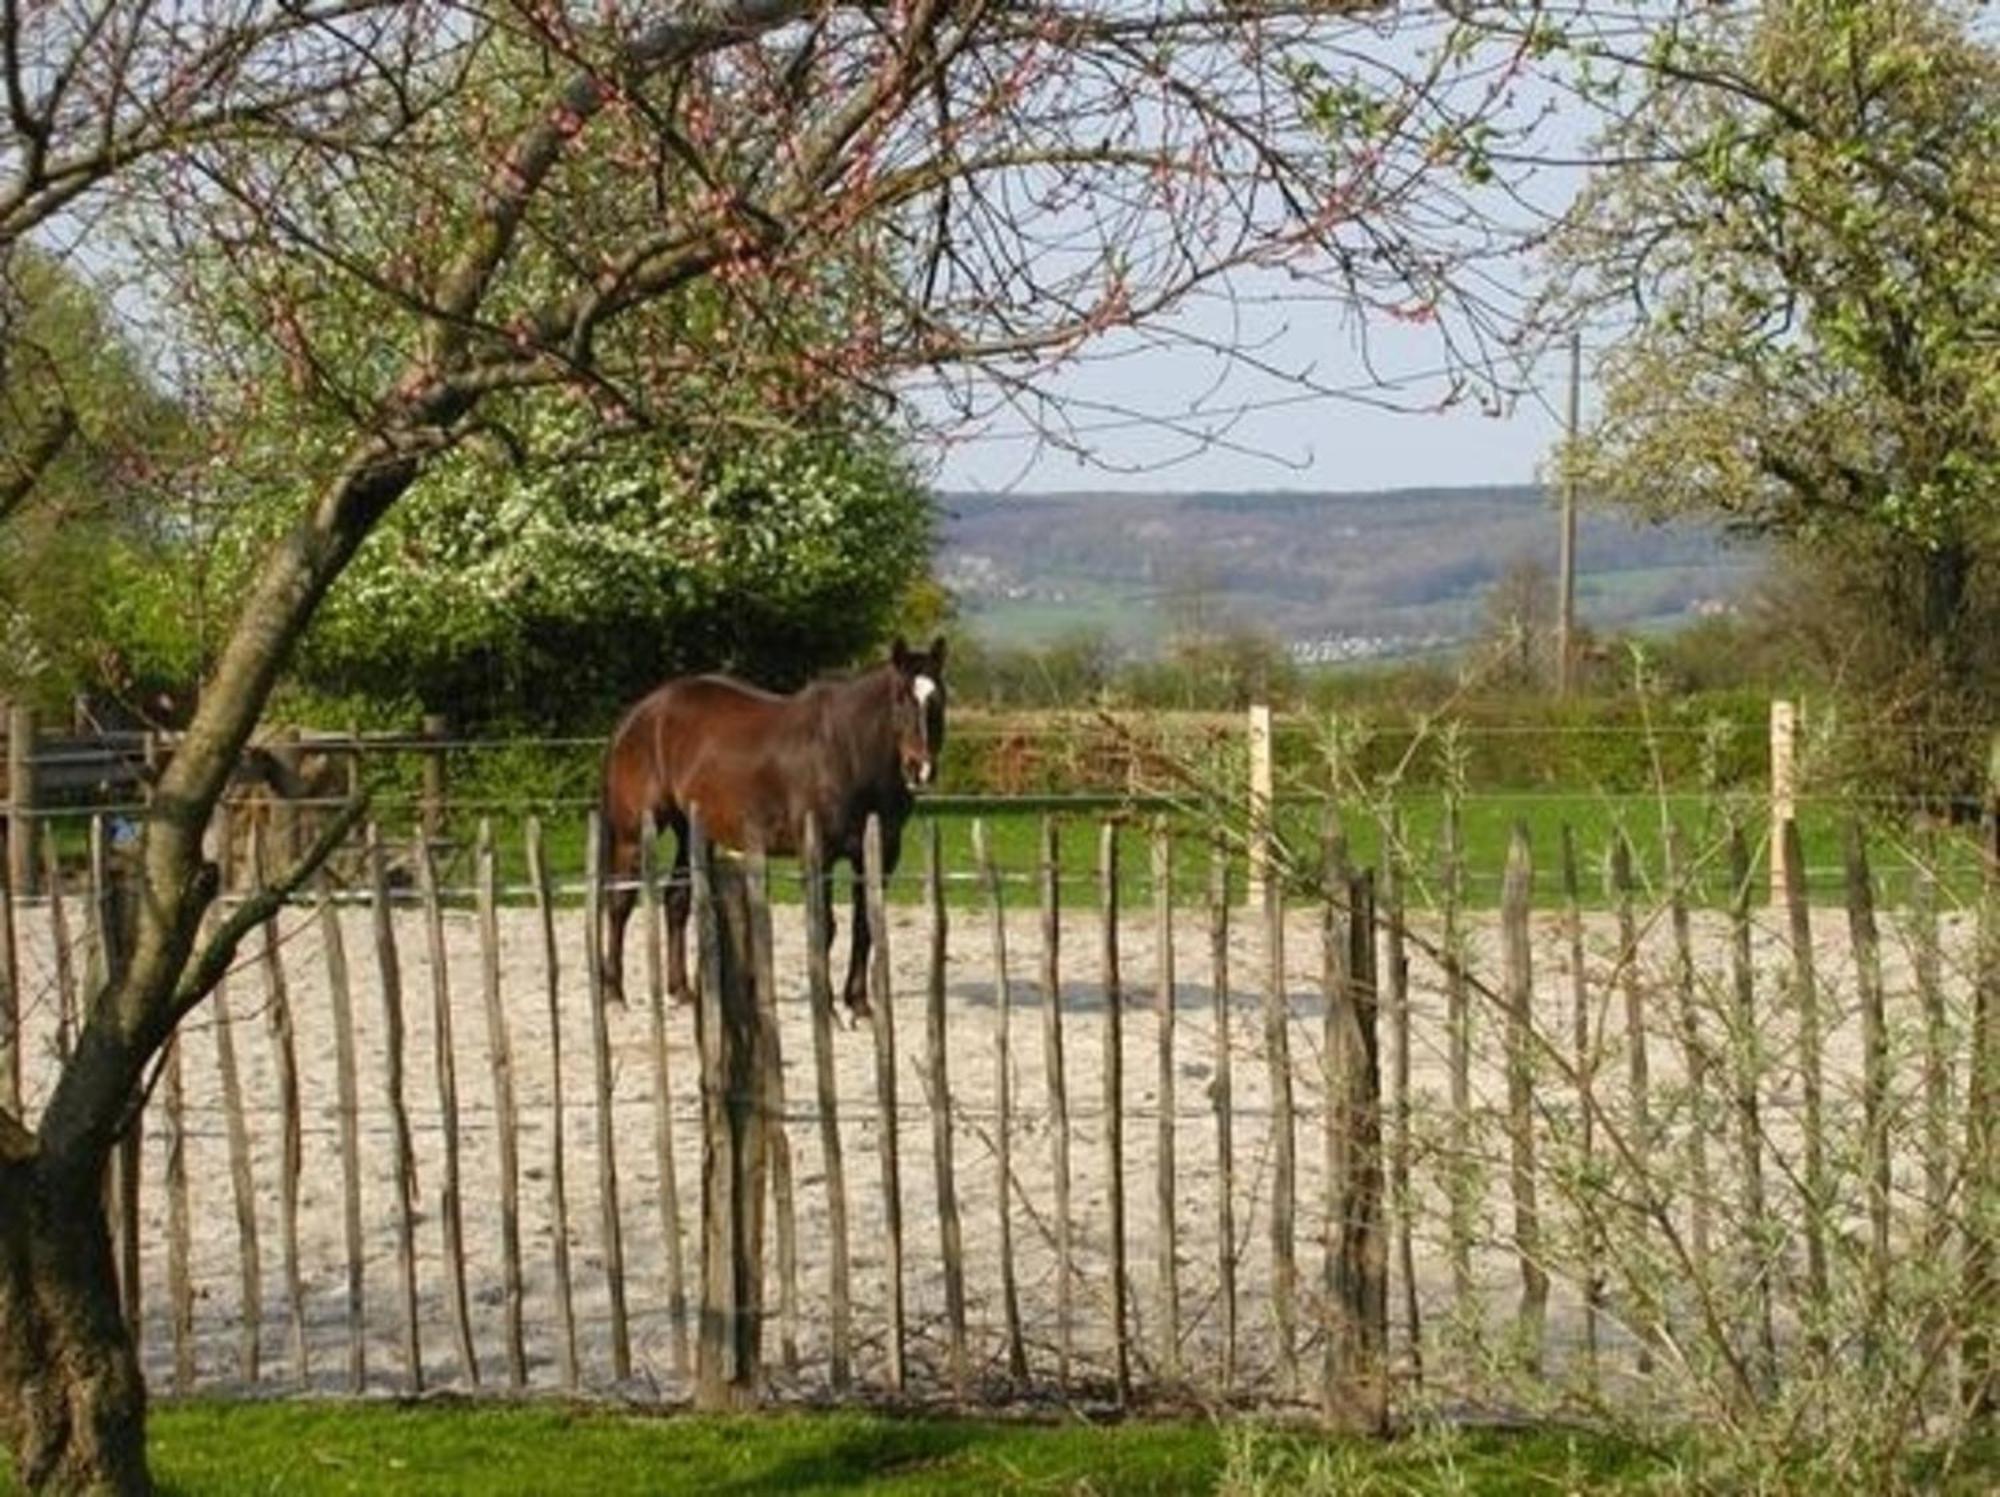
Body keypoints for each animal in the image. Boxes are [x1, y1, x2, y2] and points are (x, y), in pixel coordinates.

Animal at [592, 636, 944, 1016]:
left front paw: (859, 1004)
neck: (846, 751)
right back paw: (614, 994)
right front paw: (829, 1009)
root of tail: (638, 715)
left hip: (692, 832)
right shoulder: (818, 854)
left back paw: (681, 992)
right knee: (620, 904)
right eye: (900, 697)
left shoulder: (880, 855)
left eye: (938, 698)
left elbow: (865, 923)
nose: (920, 769)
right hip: (633, 834)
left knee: (676, 901)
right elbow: (823, 926)